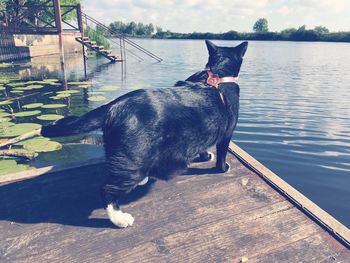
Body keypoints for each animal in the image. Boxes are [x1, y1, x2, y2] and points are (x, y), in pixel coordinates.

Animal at [41, 40, 247, 228]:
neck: (218, 74)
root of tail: (112, 106)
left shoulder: (203, 129)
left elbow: (201, 145)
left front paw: (204, 156)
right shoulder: (227, 133)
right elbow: (222, 154)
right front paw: (222, 167)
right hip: (133, 160)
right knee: (106, 189)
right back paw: (120, 219)